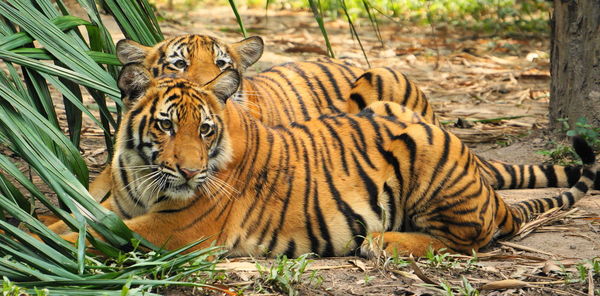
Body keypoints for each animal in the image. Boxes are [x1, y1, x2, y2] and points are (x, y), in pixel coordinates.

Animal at [54, 63, 596, 258]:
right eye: (166, 126)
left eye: (205, 130)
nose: (189, 171)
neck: (141, 173)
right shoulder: (113, 199)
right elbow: (66, 217)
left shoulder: (174, 229)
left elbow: (89, 233)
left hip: (424, 147)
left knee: (470, 240)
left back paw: (382, 242)